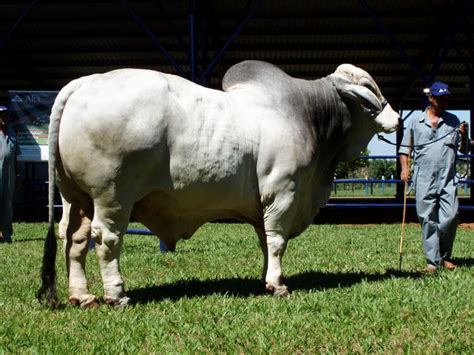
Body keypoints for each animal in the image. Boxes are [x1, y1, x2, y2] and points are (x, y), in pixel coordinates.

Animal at [38, 60, 400, 308]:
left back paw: (82, 295)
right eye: (369, 86)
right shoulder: (283, 192)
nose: (397, 119)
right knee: (107, 239)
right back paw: (117, 295)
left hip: (75, 197)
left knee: (74, 239)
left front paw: (266, 279)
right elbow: (277, 241)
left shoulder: (263, 206)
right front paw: (278, 285)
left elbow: (265, 243)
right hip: (113, 194)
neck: (308, 114)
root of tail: (85, 83)